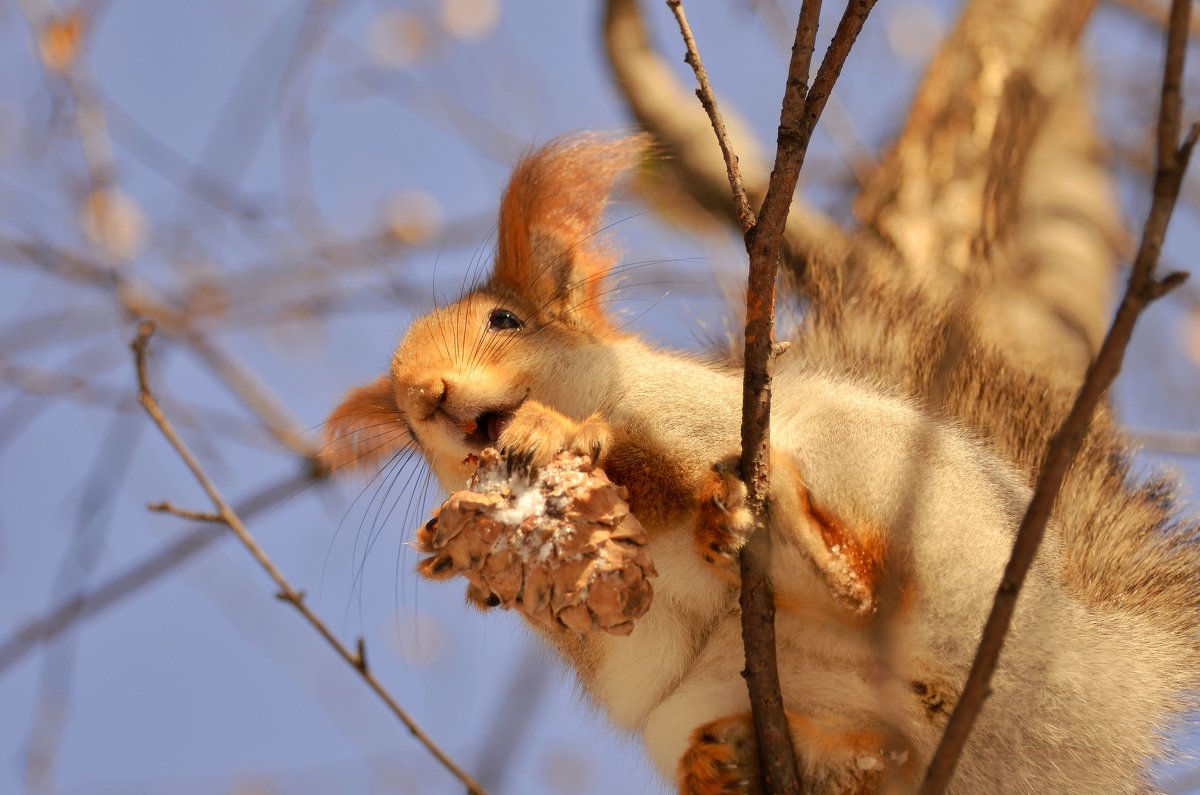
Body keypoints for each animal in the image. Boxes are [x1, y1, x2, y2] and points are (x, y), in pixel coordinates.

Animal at [324, 133, 1200, 792]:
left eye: (505, 320)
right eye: (406, 428)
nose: (426, 395)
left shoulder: (698, 409)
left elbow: (661, 444)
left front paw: (562, 433)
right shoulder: (646, 649)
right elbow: (640, 648)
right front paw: (471, 563)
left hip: (896, 478)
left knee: (872, 587)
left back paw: (797, 551)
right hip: (713, 713)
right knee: (889, 753)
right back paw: (762, 763)